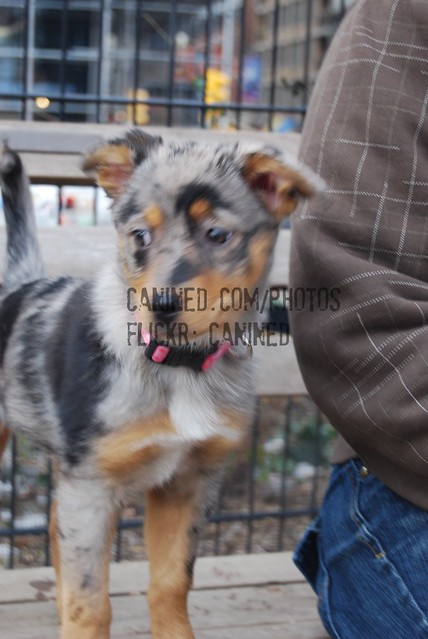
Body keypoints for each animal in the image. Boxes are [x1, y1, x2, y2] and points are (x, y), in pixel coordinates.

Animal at [0, 131, 320, 639]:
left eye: (217, 234)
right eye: (139, 236)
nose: (161, 305)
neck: (177, 366)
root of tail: (18, 285)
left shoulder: (186, 485)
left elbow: (171, 584)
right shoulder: (92, 486)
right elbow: (92, 601)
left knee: (54, 525)